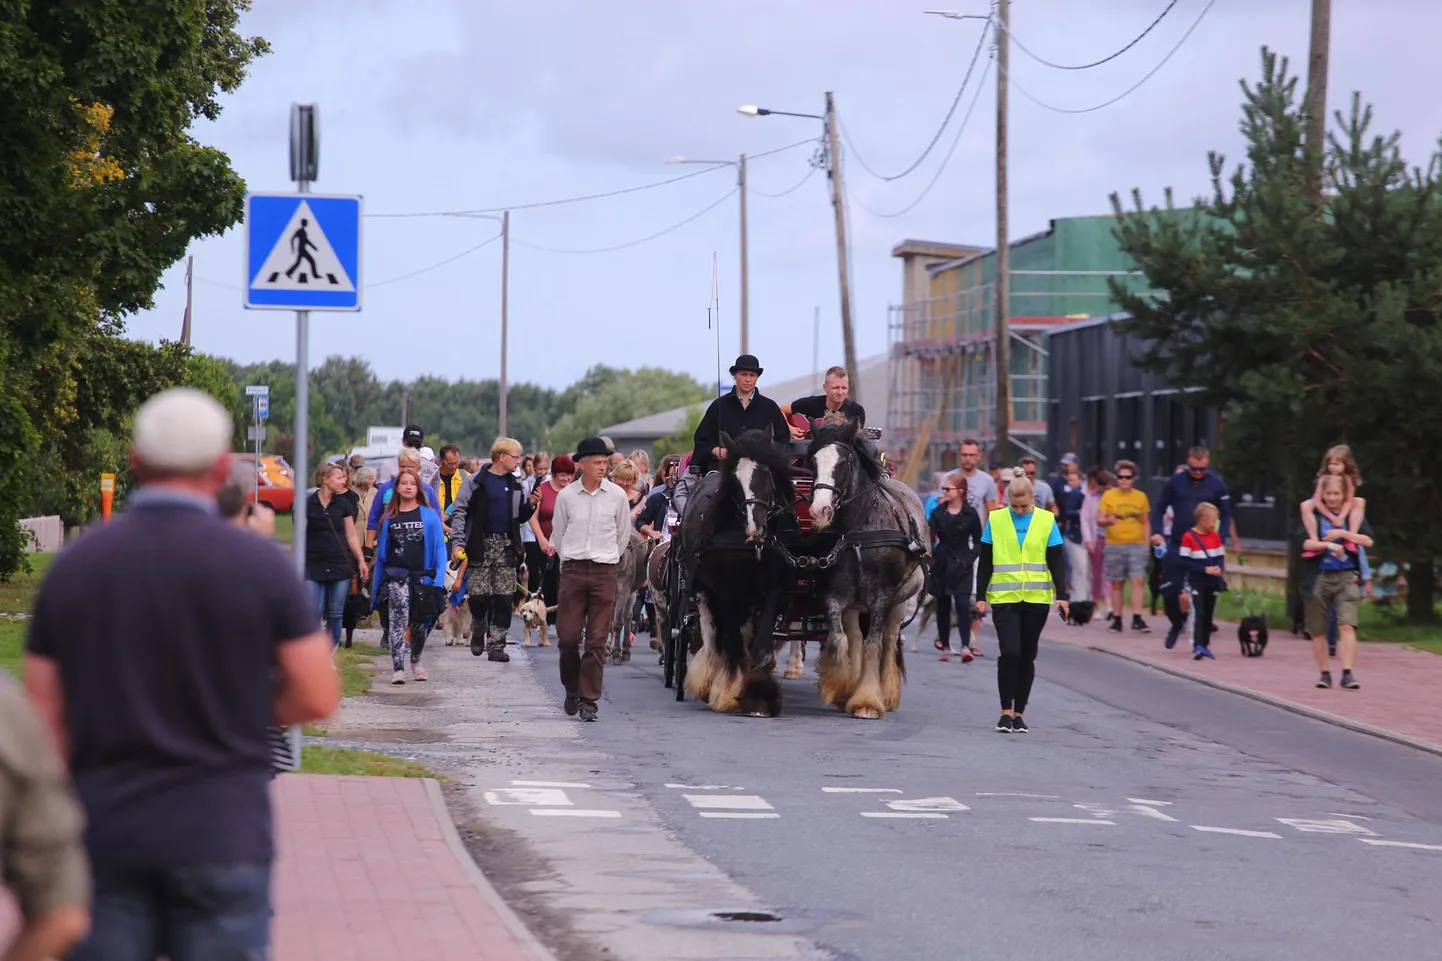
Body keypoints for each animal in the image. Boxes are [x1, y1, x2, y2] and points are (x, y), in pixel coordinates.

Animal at [677, 427, 801, 709]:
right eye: (735, 480)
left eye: (766, 474)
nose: (756, 529)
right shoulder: (727, 589)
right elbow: (730, 639)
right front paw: (728, 691)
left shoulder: (775, 587)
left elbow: (761, 641)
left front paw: (759, 692)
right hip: (700, 585)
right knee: (711, 633)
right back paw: (708, 680)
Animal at [807, 421, 928, 718]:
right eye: (813, 461)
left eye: (844, 462)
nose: (819, 509)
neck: (859, 531)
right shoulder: (836, 594)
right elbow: (841, 640)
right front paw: (839, 685)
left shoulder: (882, 596)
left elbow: (874, 644)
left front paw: (867, 701)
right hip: (856, 604)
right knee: (855, 639)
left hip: (899, 602)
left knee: (889, 639)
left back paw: (888, 692)